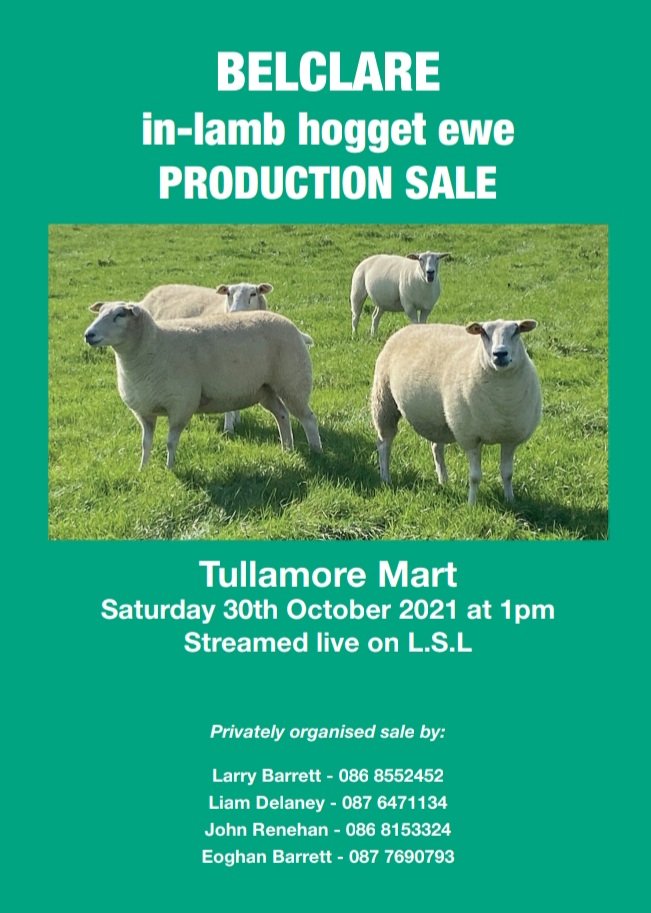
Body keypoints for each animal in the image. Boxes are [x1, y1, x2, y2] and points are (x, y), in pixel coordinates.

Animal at [84, 303, 322, 469]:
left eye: (119, 315)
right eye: (99, 313)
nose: (88, 335)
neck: (153, 346)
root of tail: (295, 329)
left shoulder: (180, 405)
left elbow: (170, 442)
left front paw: (169, 469)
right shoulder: (145, 411)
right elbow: (145, 443)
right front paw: (143, 470)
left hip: (293, 380)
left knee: (308, 418)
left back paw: (316, 452)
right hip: (265, 388)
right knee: (282, 414)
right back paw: (287, 449)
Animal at [371, 319, 541, 504]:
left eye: (516, 331)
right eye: (483, 333)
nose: (500, 354)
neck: (502, 396)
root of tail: (410, 327)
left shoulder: (510, 438)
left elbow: (507, 474)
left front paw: (510, 500)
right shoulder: (471, 437)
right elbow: (475, 476)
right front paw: (472, 504)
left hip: (437, 420)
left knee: (436, 448)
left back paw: (443, 480)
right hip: (384, 402)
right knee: (384, 444)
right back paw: (386, 478)